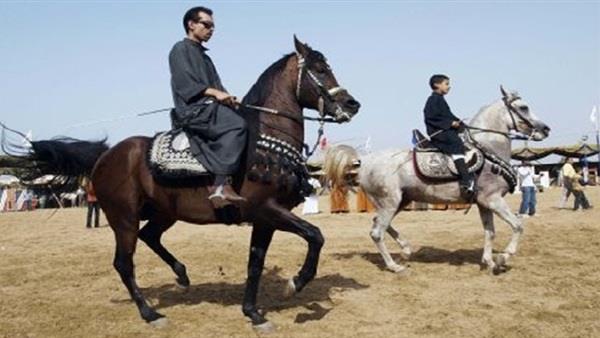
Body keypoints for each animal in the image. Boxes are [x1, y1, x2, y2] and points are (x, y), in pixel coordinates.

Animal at [8, 37, 360, 330]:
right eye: (319, 69)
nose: (352, 105)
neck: (264, 140)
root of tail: (105, 156)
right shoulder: (266, 210)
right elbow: (315, 235)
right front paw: (295, 283)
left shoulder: (265, 219)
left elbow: (255, 264)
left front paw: (253, 312)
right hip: (124, 218)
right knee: (124, 263)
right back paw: (150, 313)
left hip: (162, 213)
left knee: (150, 237)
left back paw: (181, 274)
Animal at [326, 87, 552, 274]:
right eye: (523, 107)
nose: (545, 129)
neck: (489, 150)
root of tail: (363, 161)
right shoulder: (493, 199)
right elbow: (518, 225)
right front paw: (503, 258)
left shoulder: (484, 203)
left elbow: (490, 232)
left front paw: (489, 261)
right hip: (389, 201)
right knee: (376, 232)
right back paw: (394, 266)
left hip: (399, 201)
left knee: (380, 224)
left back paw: (406, 250)